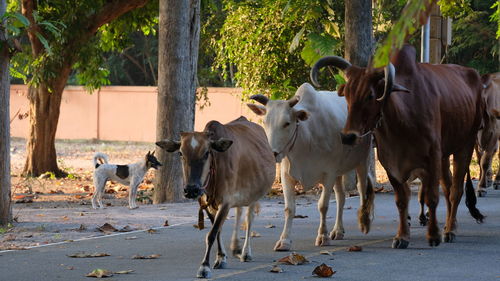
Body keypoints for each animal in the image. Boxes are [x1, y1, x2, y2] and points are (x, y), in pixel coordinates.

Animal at [155, 116, 274, 278]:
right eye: (181, 153)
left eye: (207, 153)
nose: (191, 190)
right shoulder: (207, 204)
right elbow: (217, 231)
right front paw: (221, 257)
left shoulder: (226, 202)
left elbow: (211, 234)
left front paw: (204, 266)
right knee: (239, 213)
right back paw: (236, 247)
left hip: (254, 195)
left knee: (249, 219)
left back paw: (245, 252)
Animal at [248, 82, 374, 249]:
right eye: (265, 122)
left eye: (287, 123)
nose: (272, 153)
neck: (305, 139)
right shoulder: (287, 175)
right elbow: (289, 208)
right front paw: (284, 240)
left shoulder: (328, 174)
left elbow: (323, 206)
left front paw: (322, 236)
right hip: (339, 172)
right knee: (341, 197)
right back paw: (338, 230)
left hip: (362, 162)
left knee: (362, 189)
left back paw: (364, 221)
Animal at [312, 43, 484, 247]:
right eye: (346, 94)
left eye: (370, 95)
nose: (348, 137)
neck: (402, 121)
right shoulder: (390, 163)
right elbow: (402, 201)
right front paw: (402, 237)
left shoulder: (432, 157)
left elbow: (432, 197)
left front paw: (433, 235)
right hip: (445, 156)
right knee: (448, 187)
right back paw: (450, 225)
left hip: (465, 144)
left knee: (455, 190)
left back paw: (449, 230)